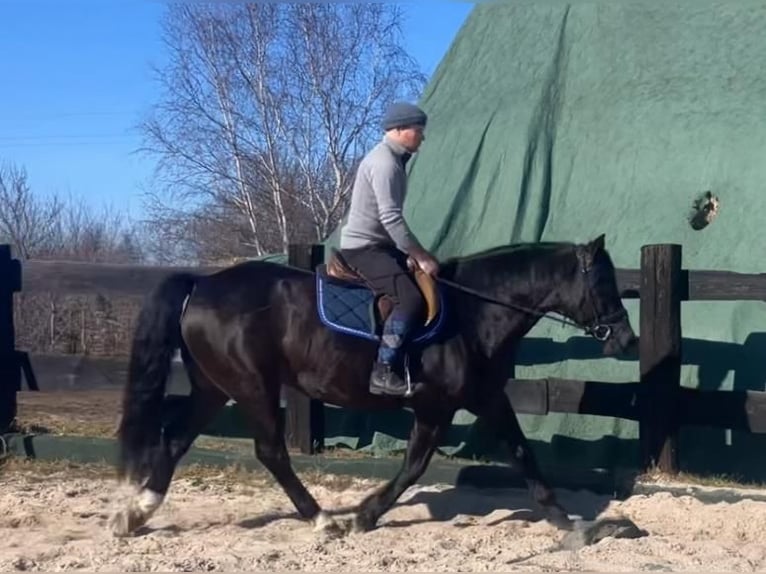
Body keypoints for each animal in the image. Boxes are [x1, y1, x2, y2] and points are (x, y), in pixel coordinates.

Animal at [109, 233, 637, 538]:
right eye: (604, 283)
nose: (627, 339)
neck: (474, 312)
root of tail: (202, 284)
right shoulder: (436, 407)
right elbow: (415, 466)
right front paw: (365, 515)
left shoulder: (485, 398)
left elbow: (523, 454)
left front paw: (567, 522)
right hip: (253, 386)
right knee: (270, 452)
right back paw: (322, 520)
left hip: (215, 388)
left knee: (175, 441)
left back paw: (135, 516)